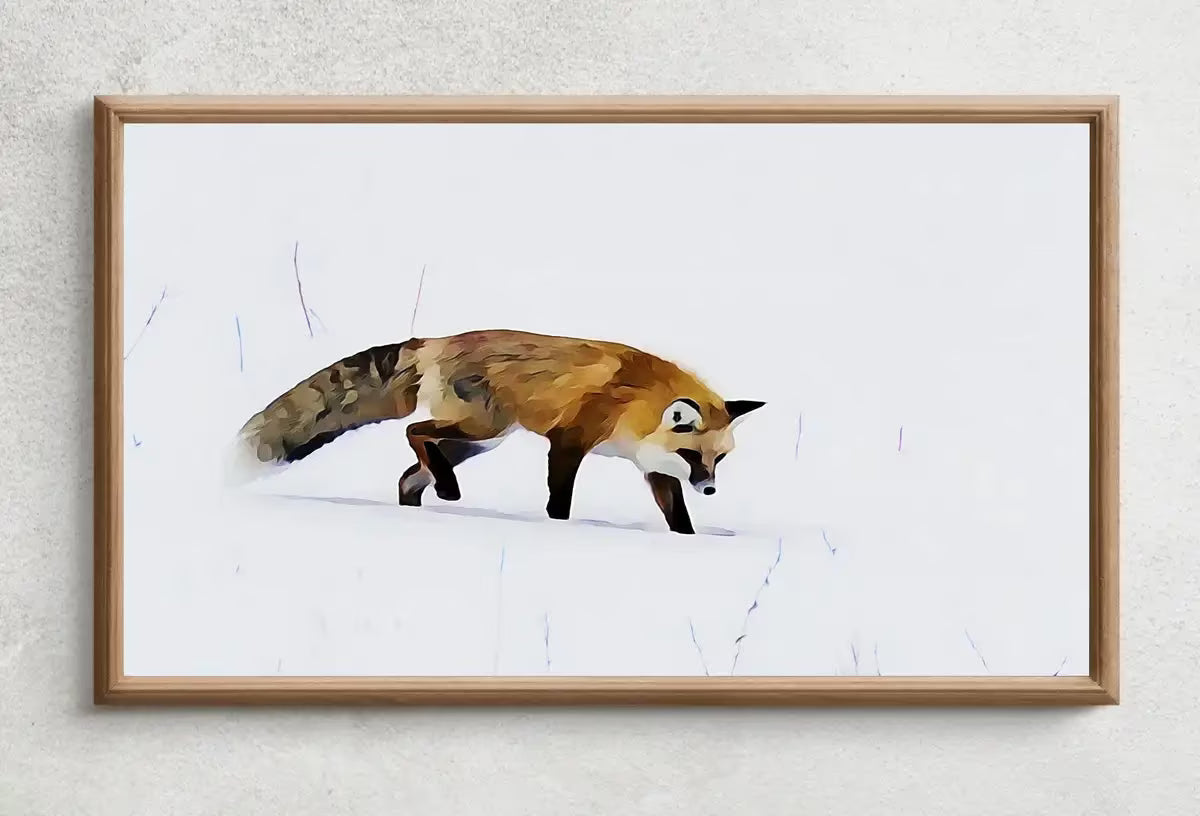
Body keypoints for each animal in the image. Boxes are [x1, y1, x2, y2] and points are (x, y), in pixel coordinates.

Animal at [229, 329, 765, 534]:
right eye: (695, 458)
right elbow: (559, 500)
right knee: (416, 431)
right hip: (483, 426)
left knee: (409, 473)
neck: (637, 403)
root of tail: (437, 339)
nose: (710, 488)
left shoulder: (653, 467)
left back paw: (424, 505)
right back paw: (447, 491)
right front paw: (558, 531)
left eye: (718, 460)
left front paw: (689, 542)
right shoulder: (569, 440)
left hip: (480, 441)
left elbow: (677, 516)